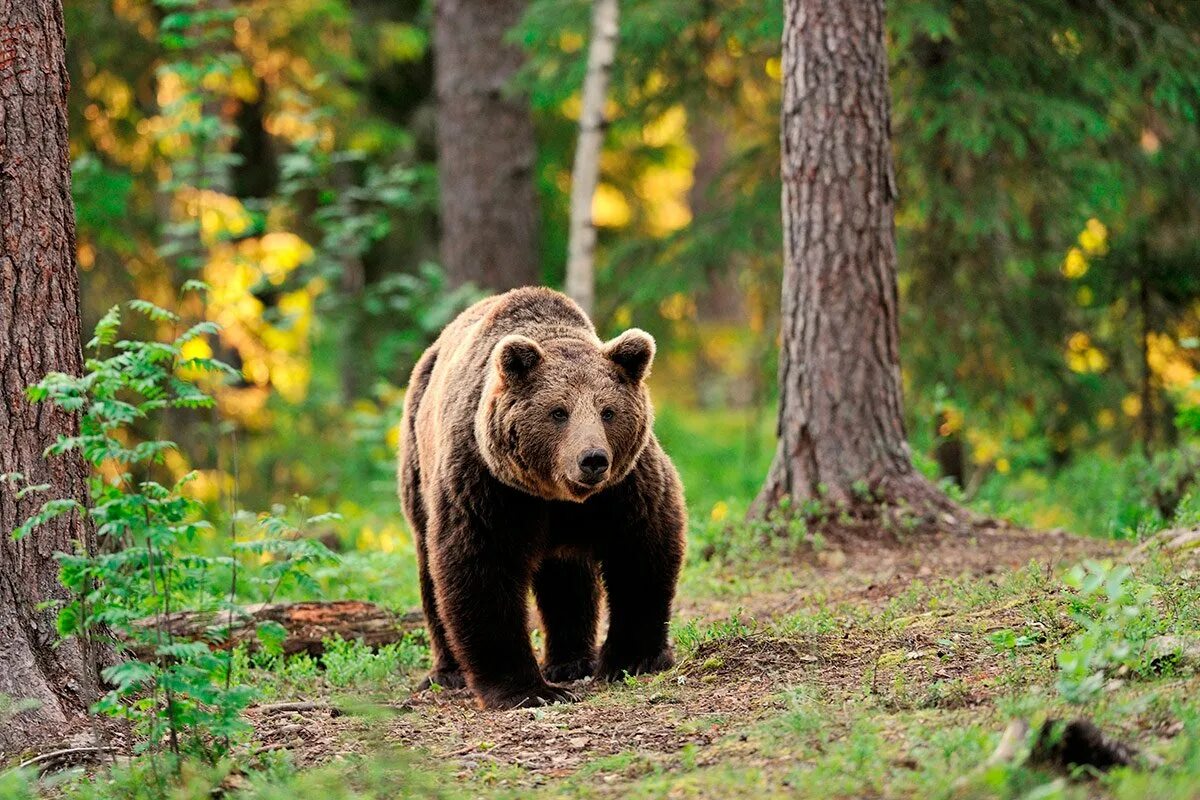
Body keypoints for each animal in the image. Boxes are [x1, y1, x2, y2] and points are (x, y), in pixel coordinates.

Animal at [398, 286, 686, 705]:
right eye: (558, 412)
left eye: (608, 411)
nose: (593, 459)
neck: (555, 495)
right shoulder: (488, 486)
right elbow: (481, 571)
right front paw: (526, 688)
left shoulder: (624, 488)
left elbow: (641, 552)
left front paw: (634, 658)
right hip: (418, 466)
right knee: (430, 573)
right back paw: (448, 672)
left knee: (566, 576)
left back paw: (570, 662)